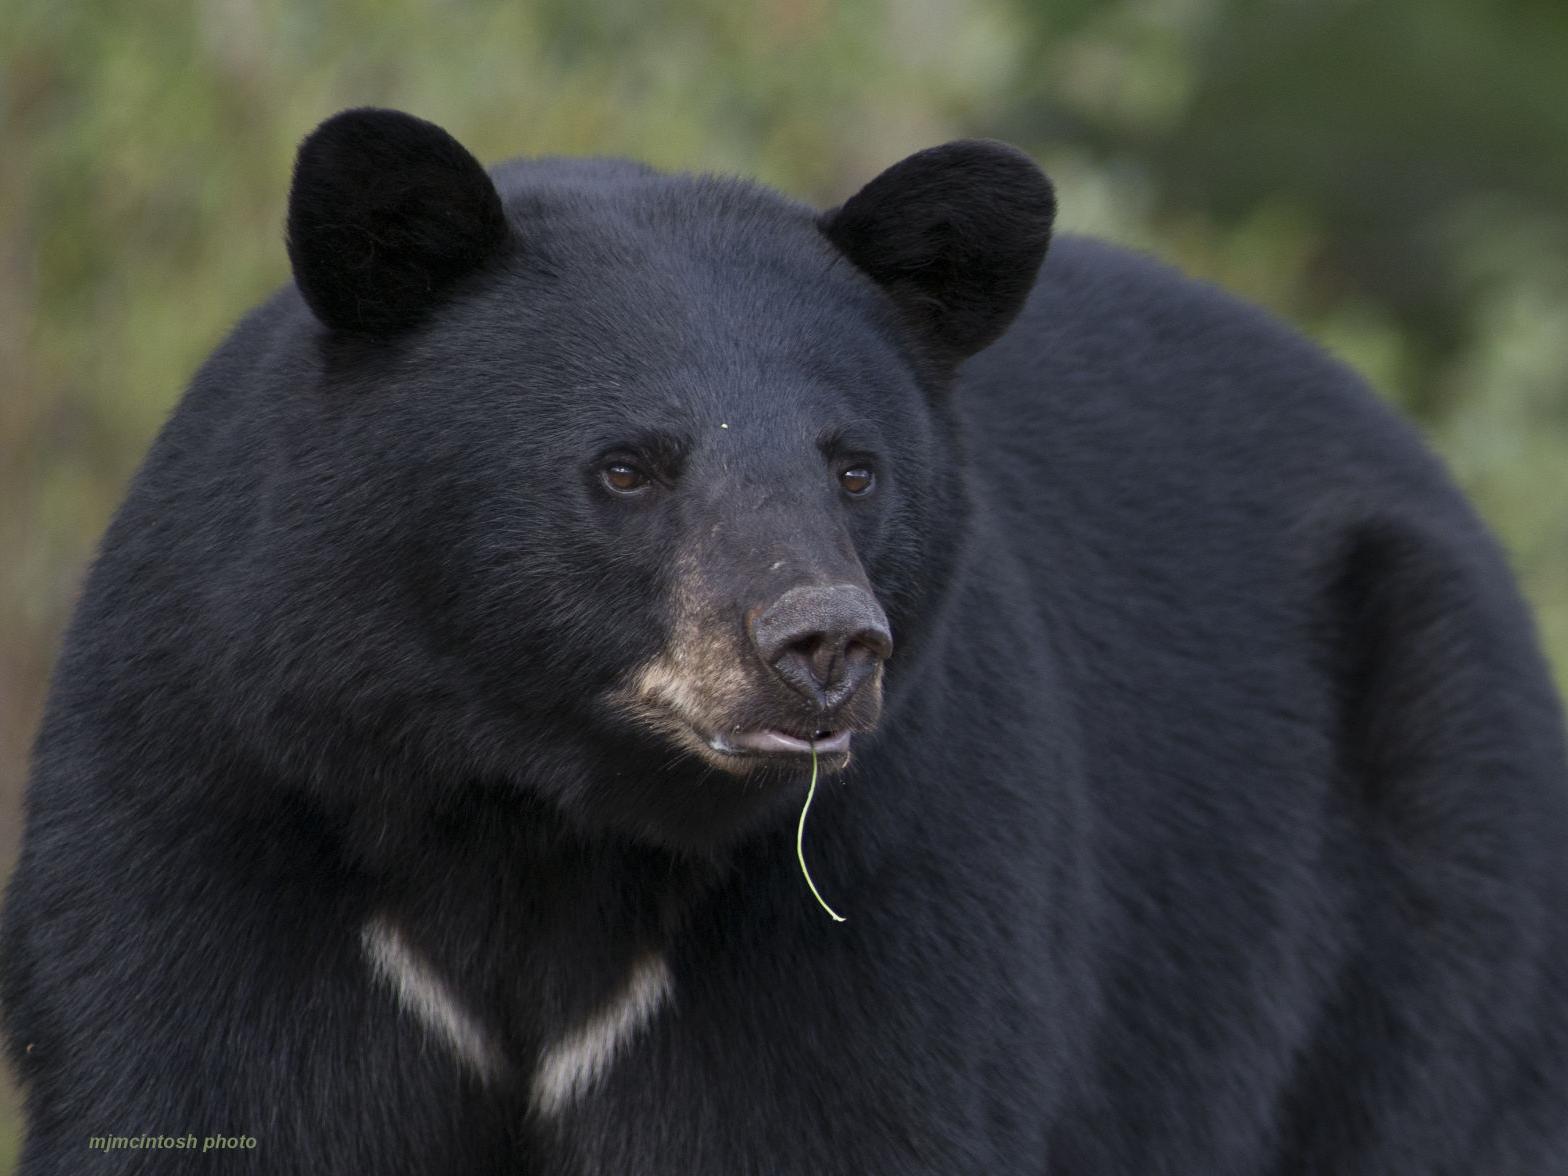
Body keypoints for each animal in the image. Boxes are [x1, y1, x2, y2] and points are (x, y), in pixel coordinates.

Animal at [3, 105, 1566, 1174]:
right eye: (627, 467)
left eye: (853, 467)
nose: (825, 644)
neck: (536, 810)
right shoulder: (219, 809)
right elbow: (208, 1089)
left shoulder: (881, 881)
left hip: (1436, 861)